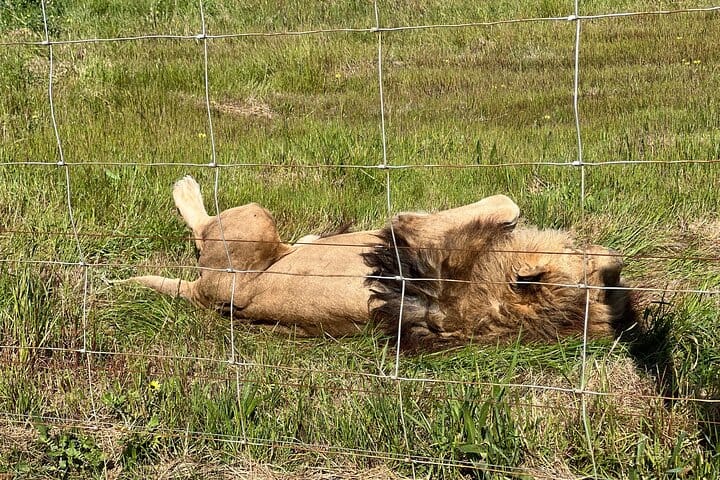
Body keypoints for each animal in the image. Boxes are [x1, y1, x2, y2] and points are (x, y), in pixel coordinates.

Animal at [123, 176, 635, 351]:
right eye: (599, 271)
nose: (615, 258)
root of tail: (205, 295)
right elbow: (507, 204)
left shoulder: (411, 226)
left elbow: (505, 202)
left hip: (252, 221)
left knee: (203, 228)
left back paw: (185, 186)